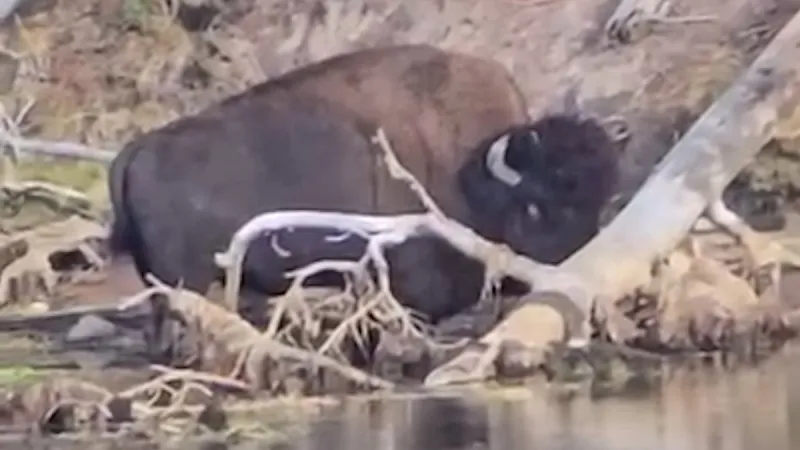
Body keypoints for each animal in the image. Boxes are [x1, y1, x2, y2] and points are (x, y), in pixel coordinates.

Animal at [107, 44, 622, 328]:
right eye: (535, 207)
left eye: (599, 203)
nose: (576, 268)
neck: (469, 172)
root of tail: (137, 150)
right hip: (185, 281)